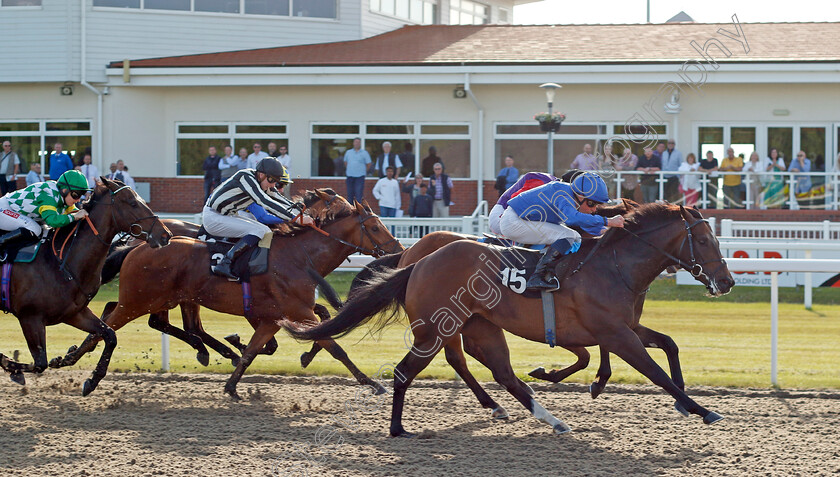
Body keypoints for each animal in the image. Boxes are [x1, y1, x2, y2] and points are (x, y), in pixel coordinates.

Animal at [0, 178, 171, 394]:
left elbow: (109, 335)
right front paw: (13, 368)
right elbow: (40, 364)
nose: (166, 235)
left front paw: (91, 380)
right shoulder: (30, 317)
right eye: (132, 203)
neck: (60, 262)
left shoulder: (74, 313)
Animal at [52, 190, 404, 398]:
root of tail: (139, 245)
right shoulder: (297, 312)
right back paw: (80, 369)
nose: (398, 249)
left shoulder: (276, 316)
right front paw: (372, 383)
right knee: (111, 324)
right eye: (375, 227)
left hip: (161, 298)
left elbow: (260, 348)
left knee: (126, 320)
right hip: (141, 300)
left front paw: (234, 381)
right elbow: (335, 346)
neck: (300, 254)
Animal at [288, 204, 736, 436]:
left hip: (480, 326)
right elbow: (654, 373)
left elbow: (669, 345)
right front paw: (701, 409)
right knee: (406, 371)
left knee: (502, 373)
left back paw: (548, 418)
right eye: (704, 239)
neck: (614, 265)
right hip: (433, 330)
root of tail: (417, 262)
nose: (728, 282)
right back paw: (398, 429)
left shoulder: (625, 327)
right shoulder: (614, 333)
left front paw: (684, 402)